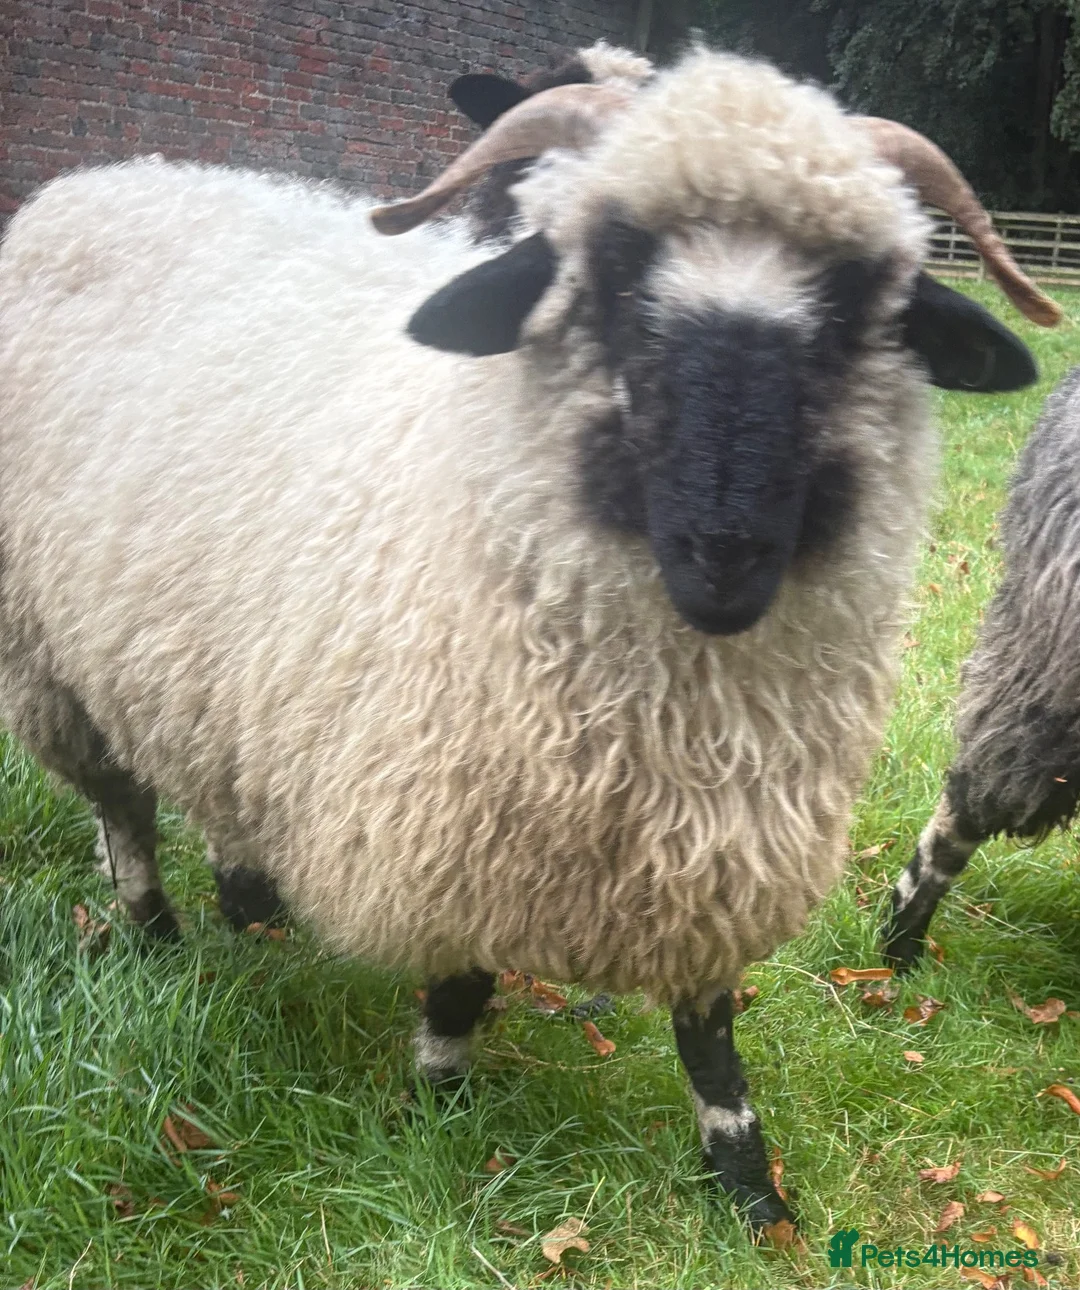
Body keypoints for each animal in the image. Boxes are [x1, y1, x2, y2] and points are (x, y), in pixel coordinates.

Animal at [0, 46, 1058, 1232]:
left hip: (214, 672)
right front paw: (441, 1106)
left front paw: (748, 1187)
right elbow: (461, 981)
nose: (727, 552)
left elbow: (709, 1030)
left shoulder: (719, 837)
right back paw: (156, 935)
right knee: (122, 807)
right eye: (610, 288)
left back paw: (254, 910)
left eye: (851, 310)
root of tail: (103, 180)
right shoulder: (459, 825)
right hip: (47, 656)